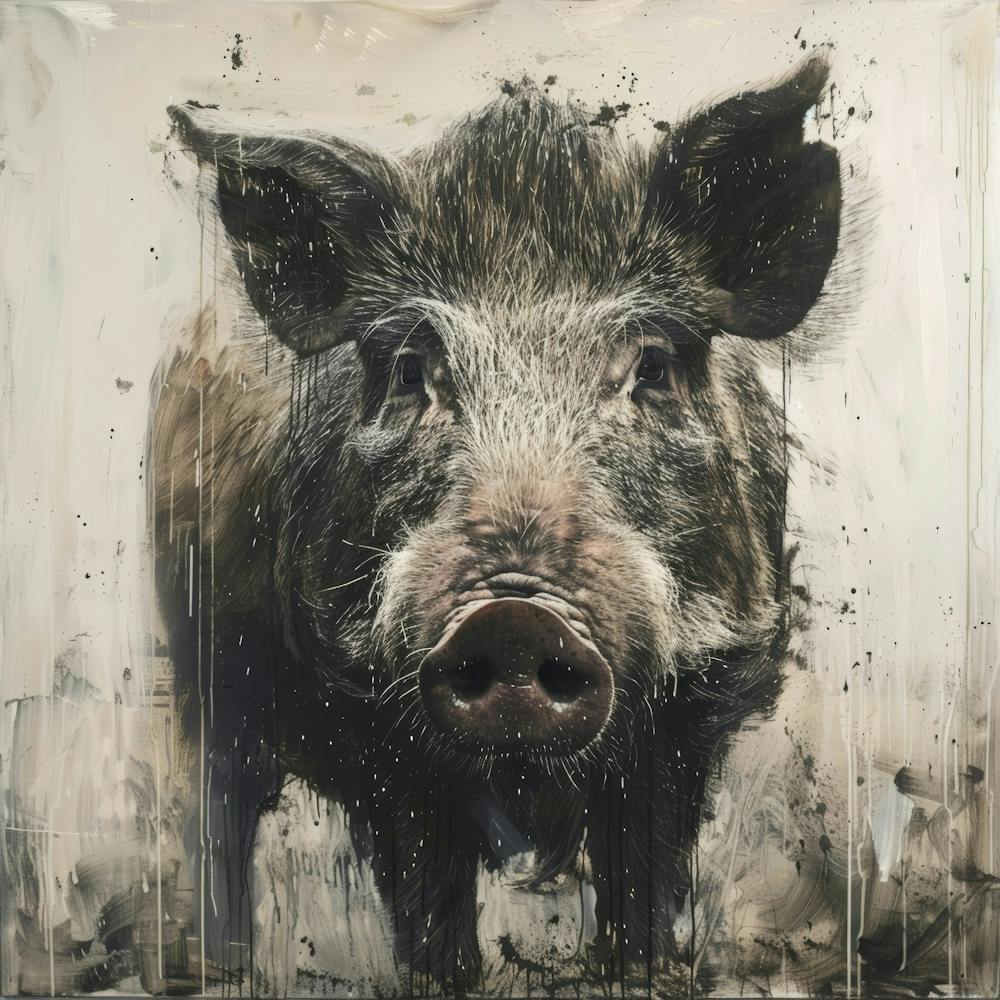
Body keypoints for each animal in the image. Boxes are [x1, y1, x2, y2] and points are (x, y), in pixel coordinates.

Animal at [154, 55, 840, 993]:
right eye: (411, 370)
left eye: (653, 367)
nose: (513, 614)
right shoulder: (378, 717)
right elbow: (430, 904)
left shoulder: (689, 719)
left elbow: (645, 887)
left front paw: (641, 972)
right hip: (205, 669)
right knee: (222, 816)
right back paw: (221, 966)